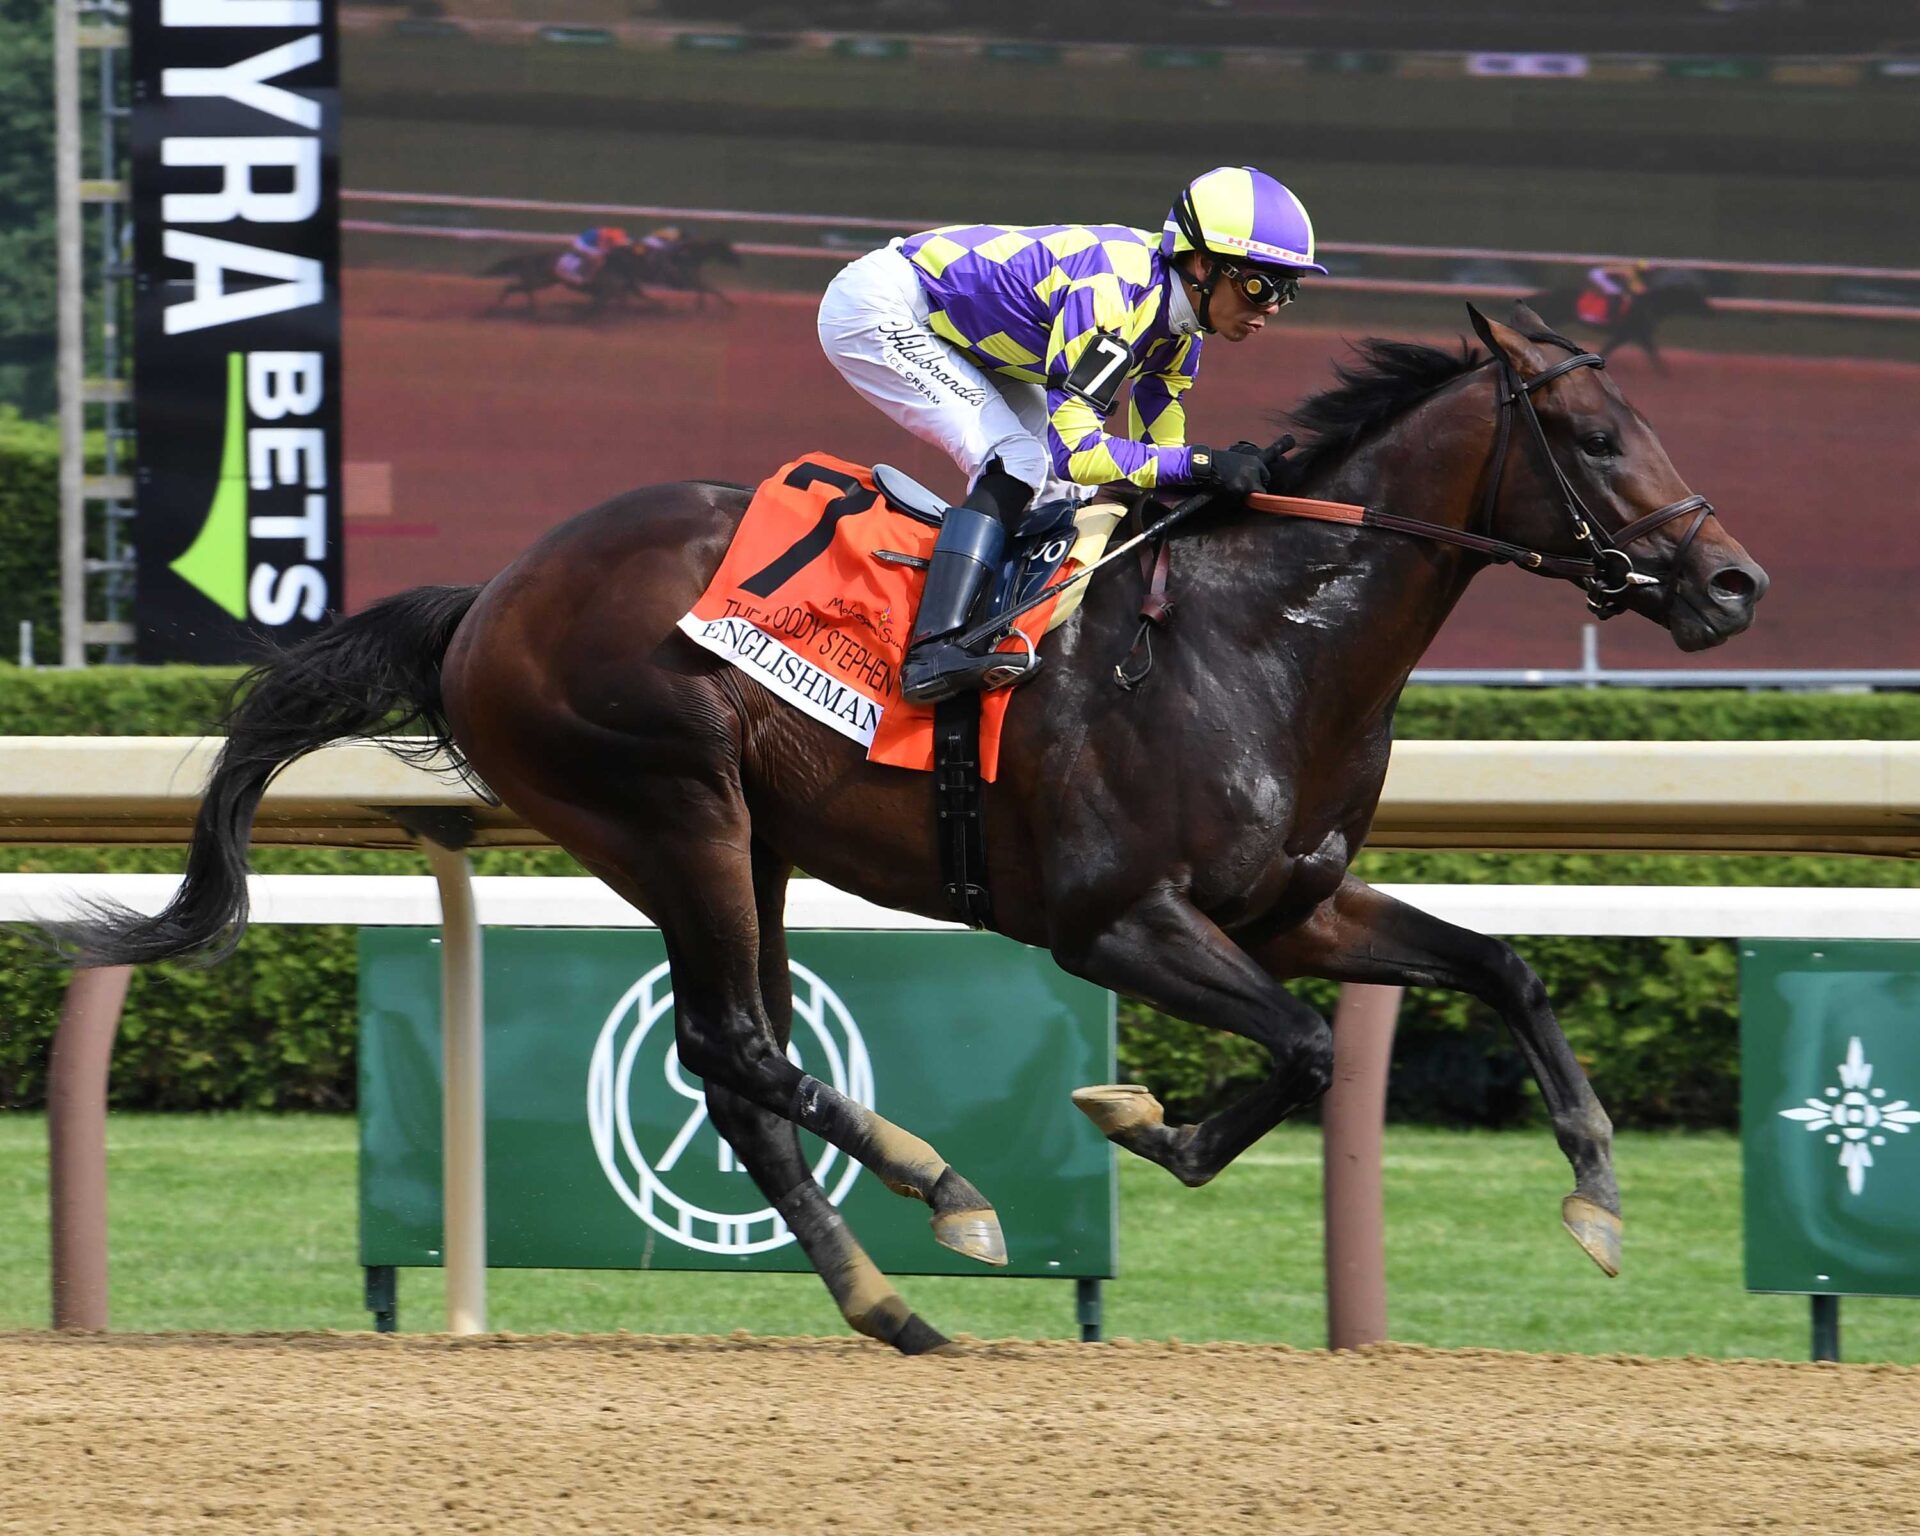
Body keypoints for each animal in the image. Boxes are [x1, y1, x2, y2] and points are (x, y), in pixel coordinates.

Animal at [49, 304, 1766, 1354]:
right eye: (1594, 438)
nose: (1733, 581)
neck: (1259, 640)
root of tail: (488, 601)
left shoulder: (1292, 910)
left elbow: (1497, 970)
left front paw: (1598, 1201)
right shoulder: (1113, 923)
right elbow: (1303, 1053)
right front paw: (1143, 1121)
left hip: (748, 845)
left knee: (731, 1068)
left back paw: (893, 1302)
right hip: (673, 810)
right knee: (737, 1047)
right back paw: (946, 1195)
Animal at [1526, 268, 1714, 370]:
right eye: (1696, 299)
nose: (1710, 310)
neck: (1647, 303)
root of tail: (1550, 293)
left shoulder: (1636, 335)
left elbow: (1651, 352)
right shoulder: (1628, 333)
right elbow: (1649, 352)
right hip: (1554, 314)